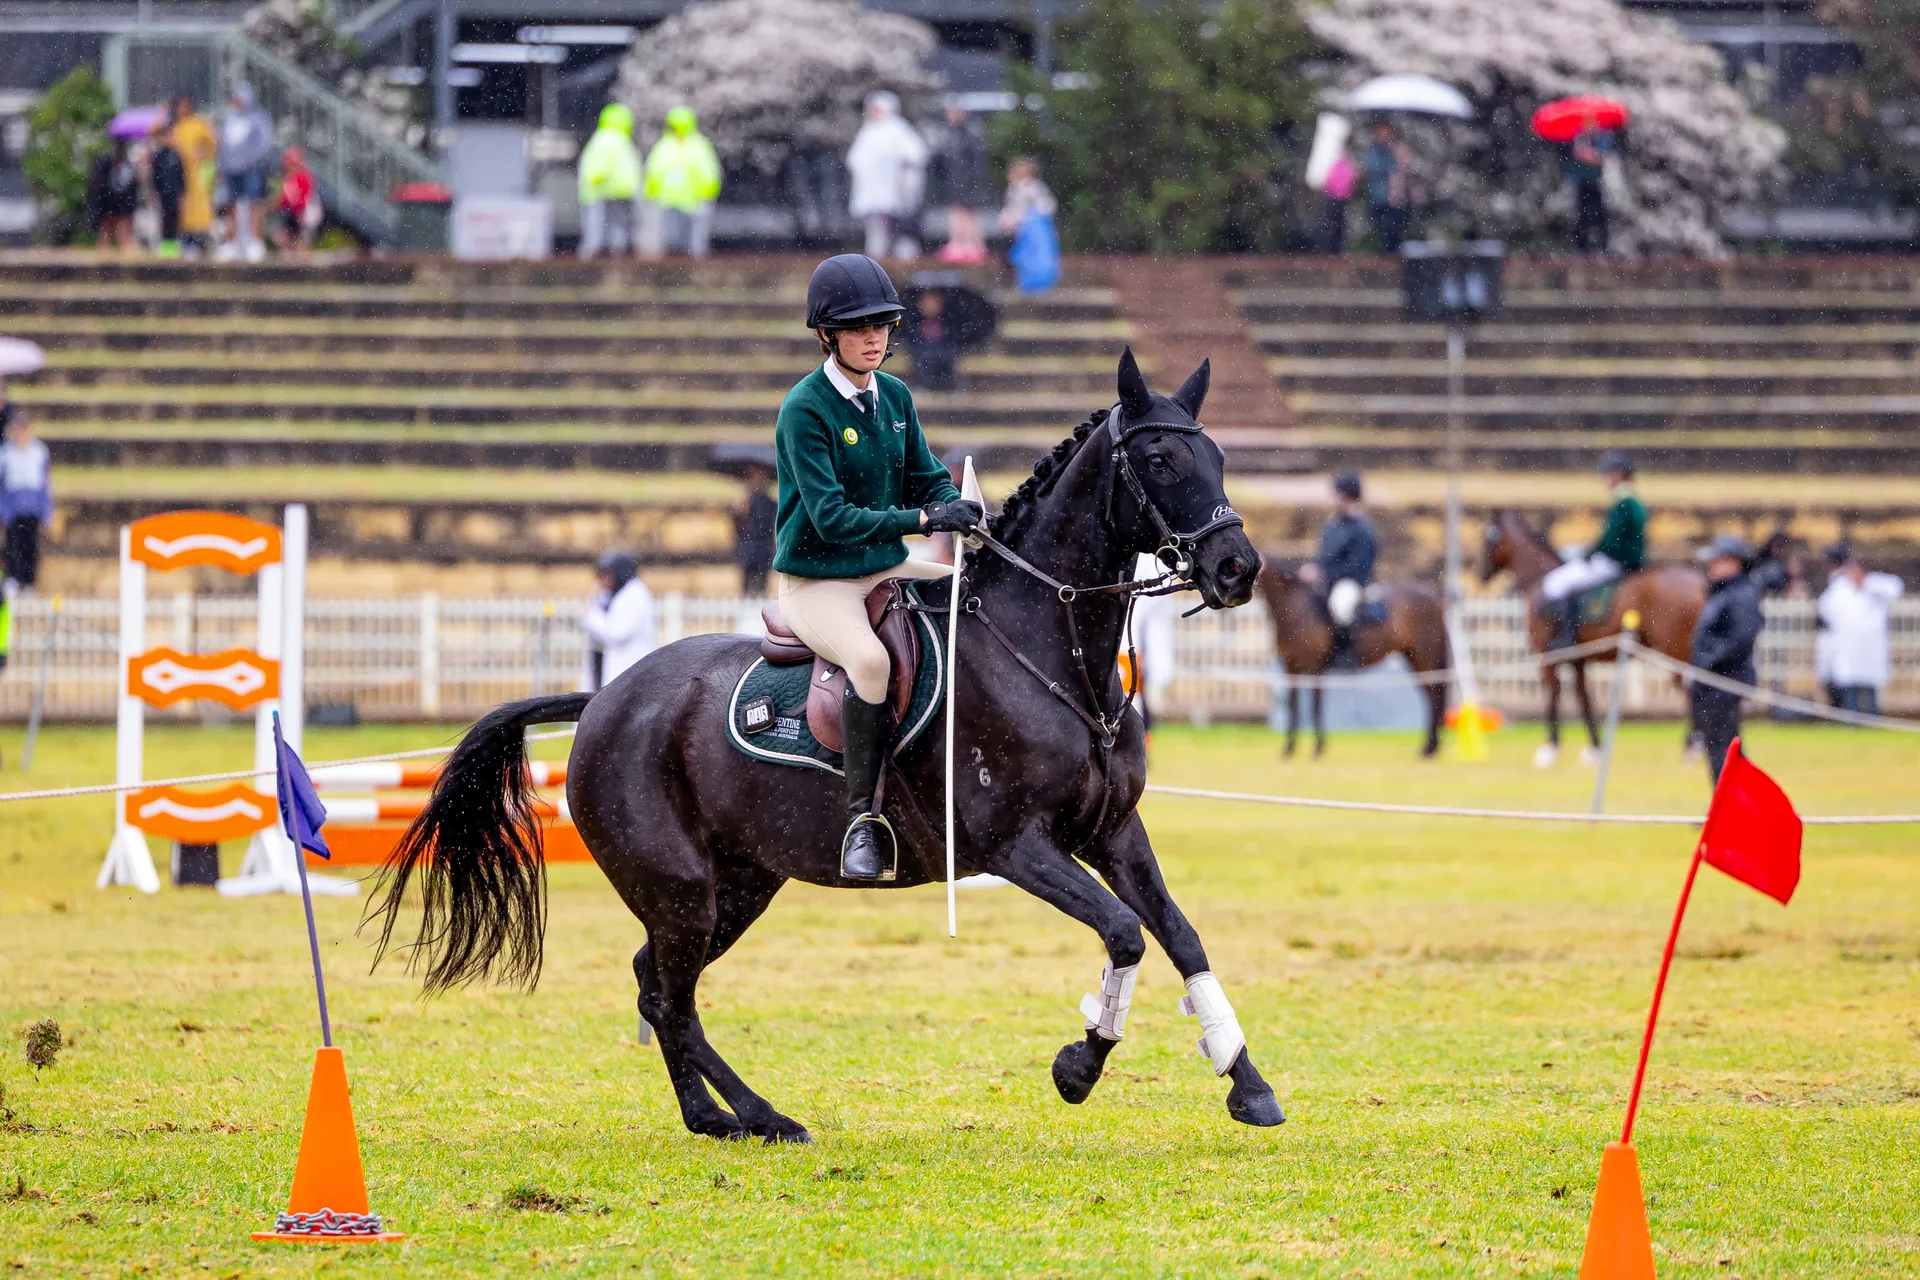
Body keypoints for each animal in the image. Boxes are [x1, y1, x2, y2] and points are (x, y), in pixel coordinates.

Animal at [366, 349, 1285, 1143]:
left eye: (1218, 457)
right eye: (1160, 459)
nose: (1237, 569)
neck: (1052, 653)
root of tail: (605, 700)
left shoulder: (1114, 831)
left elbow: (1180, 935)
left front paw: (1247, 1084)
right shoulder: (1016, 845)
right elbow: (1126, 932)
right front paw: (1078, 1066)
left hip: (737, 883)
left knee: (657, 983)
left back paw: (714, 1117)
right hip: (683, 889)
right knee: (669, 997)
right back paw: (762, 1116)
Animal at [1256, 564, 1450, 758]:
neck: (1295, 607)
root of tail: (1435, 596)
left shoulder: (1315, 668)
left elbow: (1315, 706)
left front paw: (1318, 748)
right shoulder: (1290, 668)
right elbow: (1292, 707)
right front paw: (1289, 749)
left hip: (1425, 658)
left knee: (1434, 697)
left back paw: (1429, 749)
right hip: (1414, 660)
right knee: (1429, 697)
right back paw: (1429, 747)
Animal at [1480, 510, 1706, 767]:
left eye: (1488, 539)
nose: (1480, 573)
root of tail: (1698, 580)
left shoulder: (1547, 658)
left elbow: (1554, 694)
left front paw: (1550, 748)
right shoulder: (1578, 661)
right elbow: (1584, 698)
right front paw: (1595, 748)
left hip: (1674, 650)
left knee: (1690, 689)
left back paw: (1692, 746)